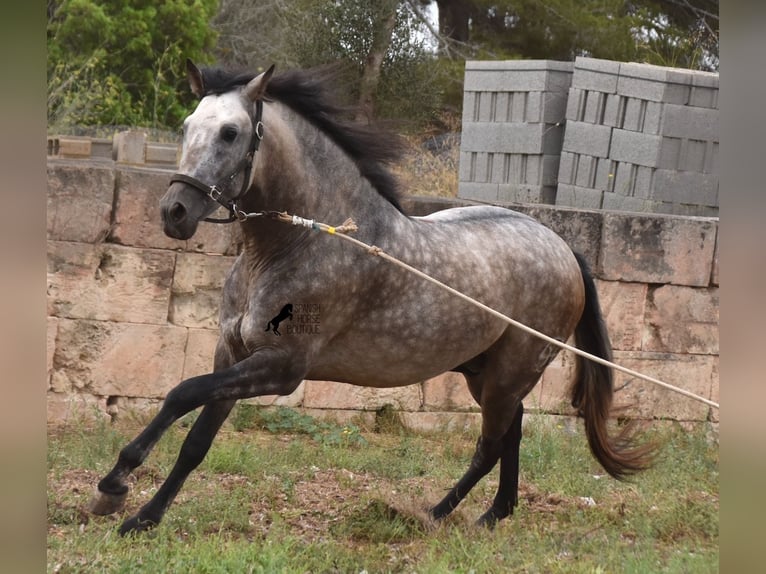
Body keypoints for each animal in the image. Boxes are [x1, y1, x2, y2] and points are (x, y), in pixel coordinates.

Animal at [90, 60, 656, 536]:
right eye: (188, 126)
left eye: (231, 132)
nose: (174, 212)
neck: (293, 246)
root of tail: (563, 248)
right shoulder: (232, 355)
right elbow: (195, 442)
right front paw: (141, 517)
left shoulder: (281, 367)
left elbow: (179, 393)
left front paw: (114, 485)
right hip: (484, 374)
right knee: (510, 434)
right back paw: (486, 515)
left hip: (510, 374)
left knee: (492, 442)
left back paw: (437, 515)